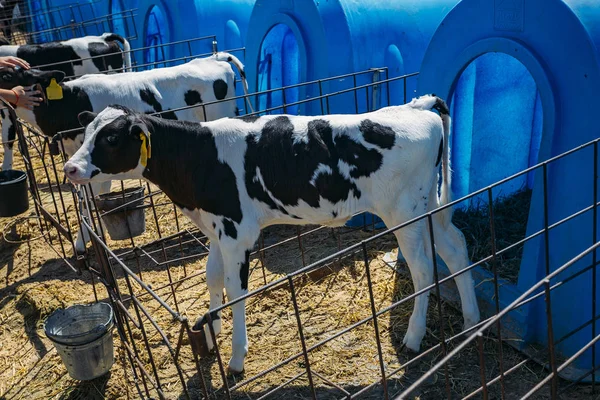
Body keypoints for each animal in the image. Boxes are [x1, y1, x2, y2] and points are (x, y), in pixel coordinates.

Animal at [63, 95, 480, 374]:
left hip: (404, 213)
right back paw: (472, 322)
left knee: (424, 269)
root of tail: (416, 107)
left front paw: (236, 358)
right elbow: (212, 277)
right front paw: (212, 330)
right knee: (455, 248)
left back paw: (413, 339)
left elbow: (236, 291)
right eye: (86, 131)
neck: (199, 156)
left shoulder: (236, 232)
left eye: (112, 138)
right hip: (430, 206)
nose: (69, 168)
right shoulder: (215, 229)